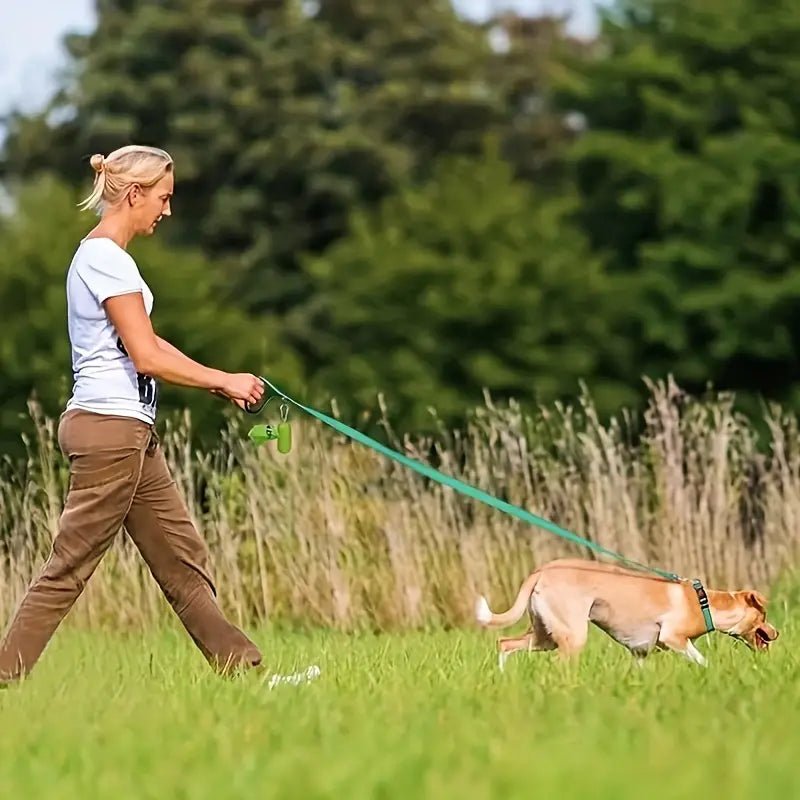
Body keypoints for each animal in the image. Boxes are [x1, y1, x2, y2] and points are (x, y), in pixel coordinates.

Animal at [478, 556, 780, 668]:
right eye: (763, 616)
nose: (777, 633)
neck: (703, 602)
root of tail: (542, 570)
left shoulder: (640, 654)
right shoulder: (674, 638)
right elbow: (701, 659)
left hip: (544, 635)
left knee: (505, 643)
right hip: (572, 635)